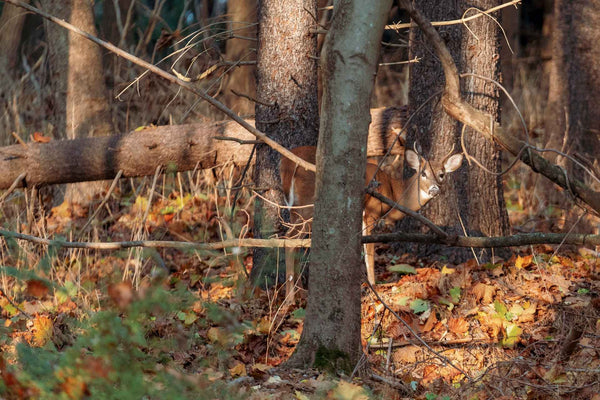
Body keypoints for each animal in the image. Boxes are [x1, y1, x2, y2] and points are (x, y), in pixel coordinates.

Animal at [278, 145, 462, 292]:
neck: (394, 191)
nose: (434, 189)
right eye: (423, 173)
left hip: (295, 210)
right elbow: (369, 250)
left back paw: (299, 292)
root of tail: (288, 163)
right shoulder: (371, 212)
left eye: (442, 174)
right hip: (308, 206)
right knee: (290, 238)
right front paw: (373, 284)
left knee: (294, 240)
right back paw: (290, 298)